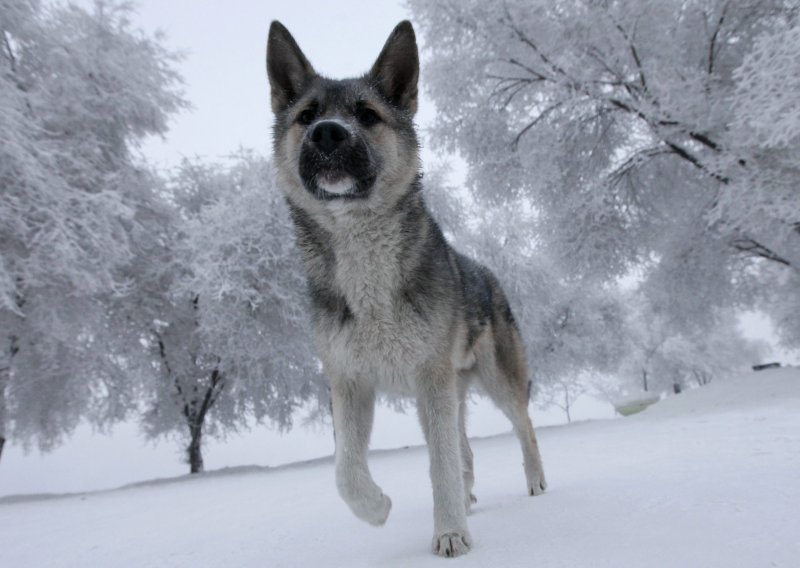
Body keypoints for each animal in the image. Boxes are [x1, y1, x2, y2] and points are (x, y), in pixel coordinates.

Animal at [266, 20, 548, 556]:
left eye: (367, 114)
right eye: (306, 115)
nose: (327, 132)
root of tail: (486, 271)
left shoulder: (429, 378)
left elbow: (440, 465)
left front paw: (451, 534)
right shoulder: (350, 381)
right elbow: (345, 470)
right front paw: (376, 508)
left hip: (497, 380)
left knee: (522, 427)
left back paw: (535, 482)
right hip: (449, 391)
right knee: (464, 446)